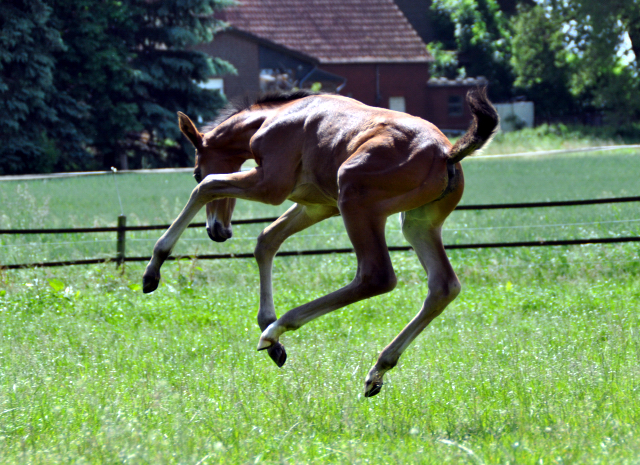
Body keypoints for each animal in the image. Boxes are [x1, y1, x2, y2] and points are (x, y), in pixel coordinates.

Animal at [142, 89, 498, 396]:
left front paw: (153, 270)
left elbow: (209, 187)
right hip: (417, 222)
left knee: (376, 276)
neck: (273, 117)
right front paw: (273, 339)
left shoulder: (271, 185)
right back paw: (377, 369)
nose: (218, 231)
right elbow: (266, 240)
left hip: (355, 198)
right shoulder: (317, 204)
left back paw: (279, 329)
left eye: (195, 170)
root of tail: (446, 152)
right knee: (443, 286)